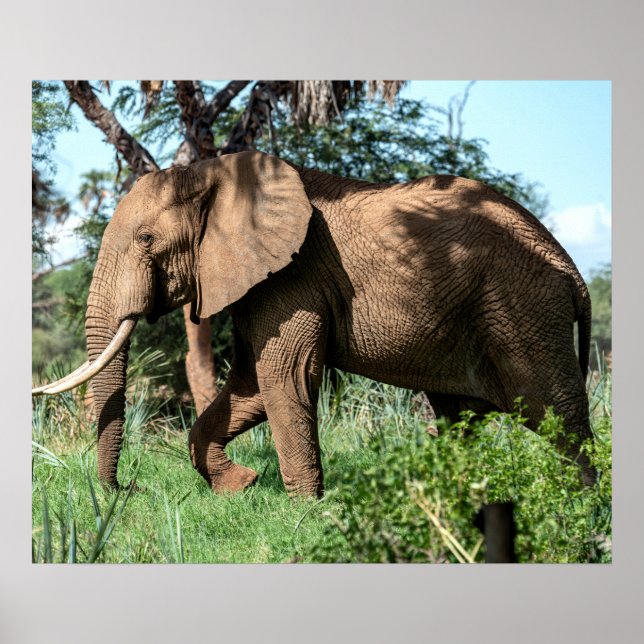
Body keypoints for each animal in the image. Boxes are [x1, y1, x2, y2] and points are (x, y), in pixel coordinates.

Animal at [33, 150, 594, 496]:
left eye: (147, 240)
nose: (128, 489)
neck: (214, 171)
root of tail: (572, 269)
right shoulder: (260, 281)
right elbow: (251, 385)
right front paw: (240, 486)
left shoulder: (293, 276)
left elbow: (285, 377)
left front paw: (304, 510)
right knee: (462, 417)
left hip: (523, 308)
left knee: (557, 414)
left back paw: (579, 508)